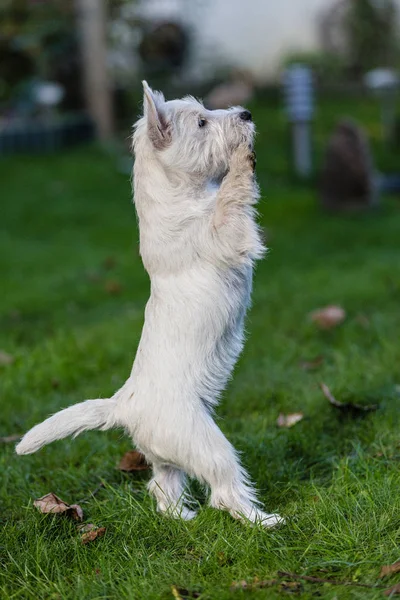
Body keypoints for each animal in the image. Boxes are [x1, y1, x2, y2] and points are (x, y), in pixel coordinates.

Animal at [15, 82, 282, 528]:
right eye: (202, 122)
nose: (246, 114)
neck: (181, 196)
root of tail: (124, 405)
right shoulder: (222, 235)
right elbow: (231, 200)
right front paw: (242, 160)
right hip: (206, 443)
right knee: (224, 492)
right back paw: (264, 520)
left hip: (166, 454)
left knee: (162, 485)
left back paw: (182, 517)